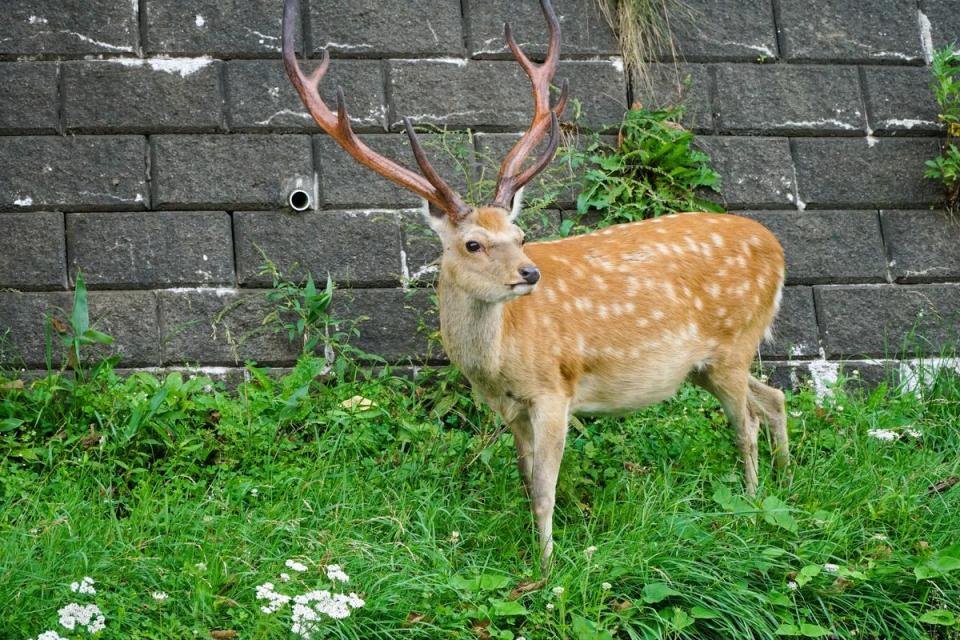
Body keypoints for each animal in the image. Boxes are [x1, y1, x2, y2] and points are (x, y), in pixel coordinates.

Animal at [282, 0, 792, 568]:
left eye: (521, 234)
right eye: (473, 244)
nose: (530, 273)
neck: (499, 360)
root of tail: (777, 247)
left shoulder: (554, 389)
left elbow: (546, 485)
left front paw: (547, 567)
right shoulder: (510, 407)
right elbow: (527, 480)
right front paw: (533, 549)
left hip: (733, 343)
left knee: (746, 422)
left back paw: (752, 505)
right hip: (705, 364)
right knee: (773, 397)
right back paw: (786, 480)